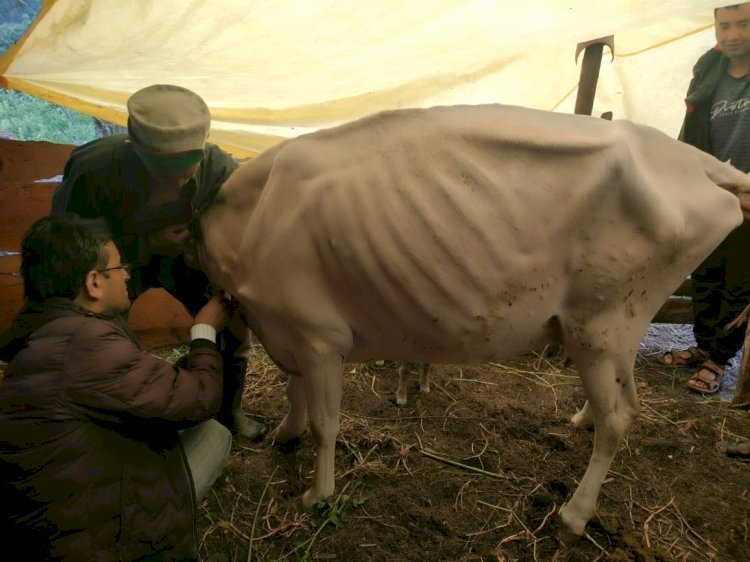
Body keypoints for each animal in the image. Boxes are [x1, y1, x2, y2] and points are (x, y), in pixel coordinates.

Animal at [197, 101, 748, 532]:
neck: (249, 215)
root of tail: (698, 163)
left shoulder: (319, 336)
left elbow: (325, 423)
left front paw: (317, 495)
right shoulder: (289, 331)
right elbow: (295, 393)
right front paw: (284, 435)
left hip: (602, 323)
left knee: (620, 418)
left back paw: (574, 515)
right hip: (616, 329)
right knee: (624, 400)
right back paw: (581, 420)